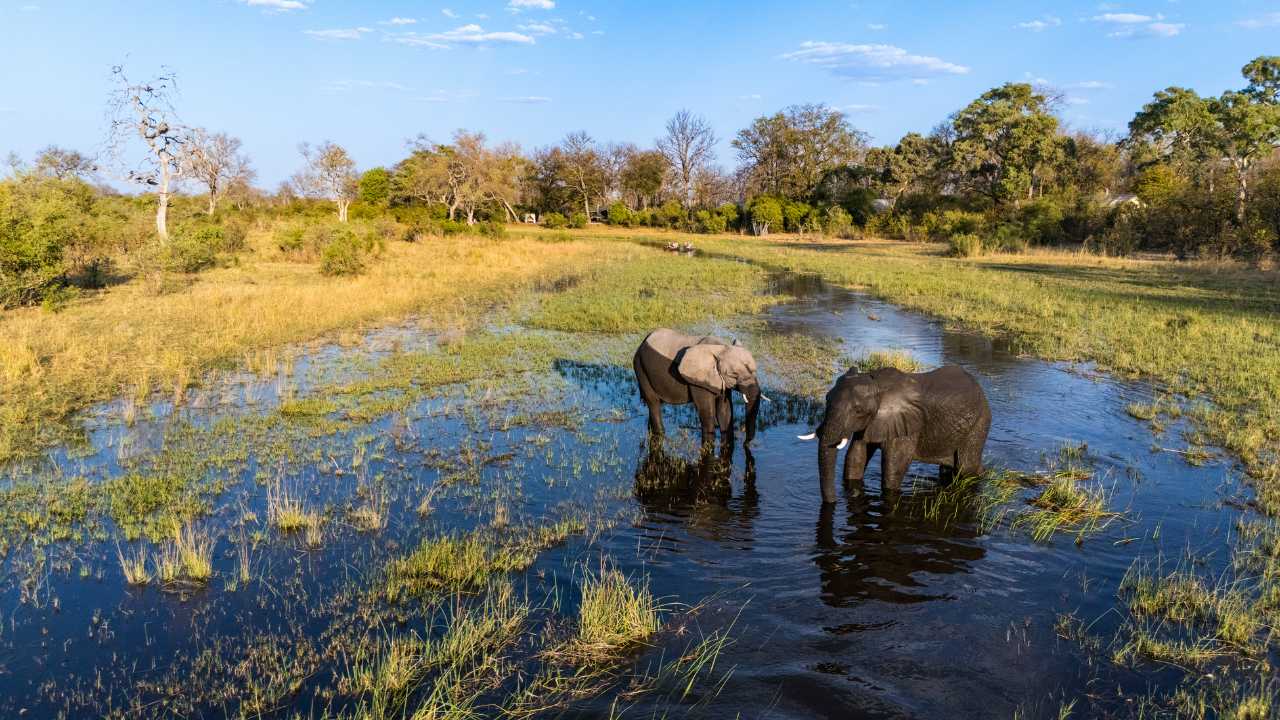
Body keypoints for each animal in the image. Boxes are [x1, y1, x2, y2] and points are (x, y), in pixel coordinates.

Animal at [633, 328, 766, 446]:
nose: (746, 443)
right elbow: (707, 412)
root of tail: (643, 342)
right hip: (640, 366)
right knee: (653, 402)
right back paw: (659, 433)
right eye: (733, 375)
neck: (720, 348)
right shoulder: (698, 381)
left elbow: (725, 410)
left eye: (755, 370)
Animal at [799, 365, 991, 503]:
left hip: (980, 422)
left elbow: (894, 466)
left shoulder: (909, 425)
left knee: (966, 467)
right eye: (826, 399)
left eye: (858, 411)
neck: (876, 383)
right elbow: (856, 457)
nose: (834, 502)